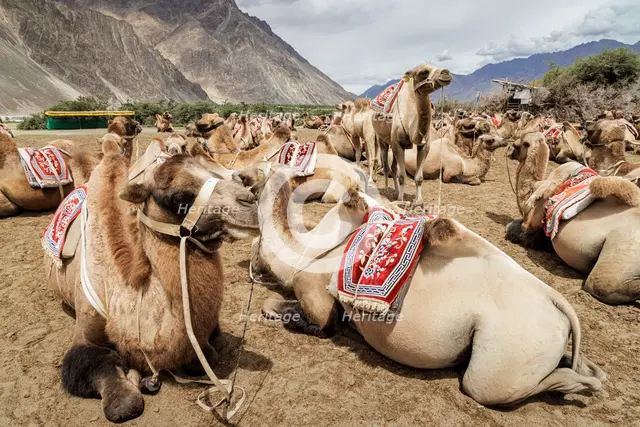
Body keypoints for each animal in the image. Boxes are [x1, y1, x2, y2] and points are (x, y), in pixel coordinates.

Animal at [46, 139, 260, 422]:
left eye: (217, 172)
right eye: (180, 197)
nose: (251, 201)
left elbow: (207, 355)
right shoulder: (86, 332)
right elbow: (123, 403)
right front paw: (134, 381)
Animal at [250, 168, 605, 406]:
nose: (248, 184)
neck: (306, 249)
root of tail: (555, 299)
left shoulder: (314, 291)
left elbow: (300, 315)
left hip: (505, 356)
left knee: (491, 386)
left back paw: (583, 385)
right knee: (578, 365)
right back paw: (595, 374)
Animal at [372, 63, 452, 204]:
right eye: (423, 72)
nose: (446, 73)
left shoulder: (424, 145)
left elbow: (419, 177)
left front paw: (418, 201)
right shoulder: (398, 143)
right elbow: (402, 175)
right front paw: (401, 200)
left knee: (393, 168)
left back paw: (396, 191)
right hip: (382, 140)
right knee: (386, 166)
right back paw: (387, 190)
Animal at [505, 132, 640, 304]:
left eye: (517, 144)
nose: (509, 151)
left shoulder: (531, 225)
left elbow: (513, 229)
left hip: (624, 248)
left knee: (601, 284)